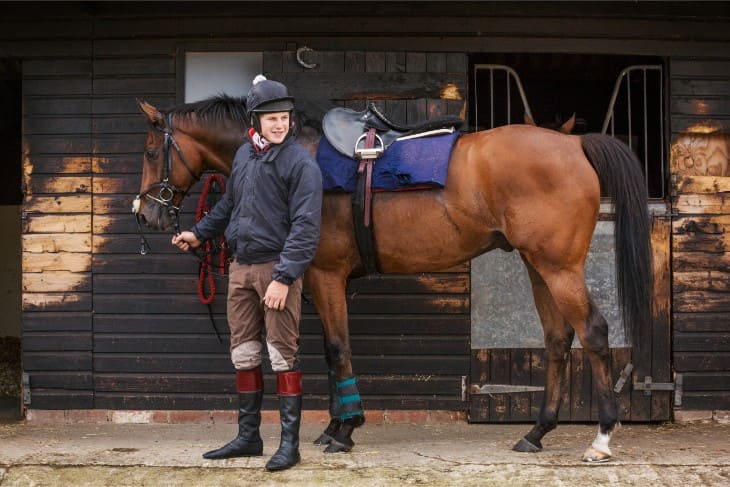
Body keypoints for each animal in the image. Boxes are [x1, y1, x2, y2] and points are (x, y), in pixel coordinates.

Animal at [135, 94, 648, 462]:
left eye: (150, 150)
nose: (147, 213)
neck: (296, 157)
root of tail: (573, 143)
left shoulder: (324, 276)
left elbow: (337, 349)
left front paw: (344, 431)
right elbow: (332, 353)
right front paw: (334, 426)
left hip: (559, 268)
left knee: (594, 332)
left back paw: (602, 437)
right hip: (537, 265)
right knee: (558, 340)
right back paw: (537, 432)